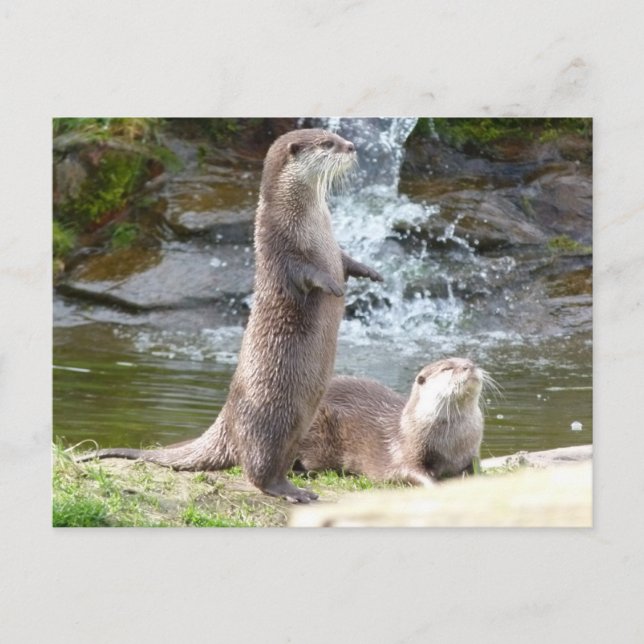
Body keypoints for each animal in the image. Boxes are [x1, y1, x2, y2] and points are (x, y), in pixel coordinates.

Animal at [77, 129, 382, 503]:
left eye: (336, 136)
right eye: (328, 144)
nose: (352, 146)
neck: (312, 223)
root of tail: (228, 418)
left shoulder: (332, 248)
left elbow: (346, 260)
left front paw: (370, 272)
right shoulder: (280, 248)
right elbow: (306, 273)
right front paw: (333, 286)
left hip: (301, 423)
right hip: (268, 420)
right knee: (257, 468)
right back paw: (290, 491)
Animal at [295, 357, 487, 486]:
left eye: (471, 361)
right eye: (447, 368)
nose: (469, 366)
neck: (454, 442)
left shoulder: (471, 452)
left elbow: (476, 469)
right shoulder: (407, 450)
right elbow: (410, 472)